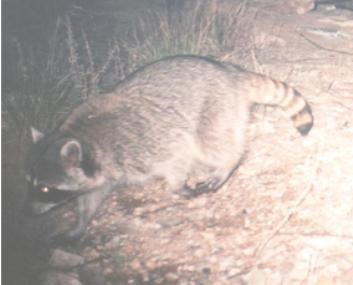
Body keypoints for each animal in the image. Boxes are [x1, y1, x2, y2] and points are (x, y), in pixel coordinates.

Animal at [23, 54, 312, 241]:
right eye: (29, 182)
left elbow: (177, 157)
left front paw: (176, 185)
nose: (29, 213)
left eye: (45, 188)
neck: (82, 136)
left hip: (214, 107)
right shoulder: (99, 170)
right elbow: (91, 196)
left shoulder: (147, 144)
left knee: (213, 142)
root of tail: (230, 72)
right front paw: (80, 224)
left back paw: (226, 164)